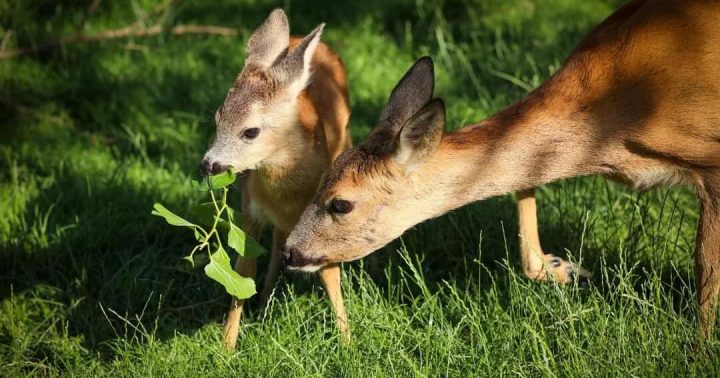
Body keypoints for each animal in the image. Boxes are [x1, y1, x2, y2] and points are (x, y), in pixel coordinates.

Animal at [200, 8, 352, 350]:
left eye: (251, 131)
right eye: (217, 118)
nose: (209, 165)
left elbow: (329, 272)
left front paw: (348, 339)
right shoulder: (250, 209)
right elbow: (244, 268)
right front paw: (227, 344)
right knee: (277, 244)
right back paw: (263, 304)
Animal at [284, 0, 720, 336]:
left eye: (340, 204)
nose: (290, 251)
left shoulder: (712, 163)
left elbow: (706, 267)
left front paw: (697, 350)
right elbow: (524, 192)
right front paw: (565, 269)